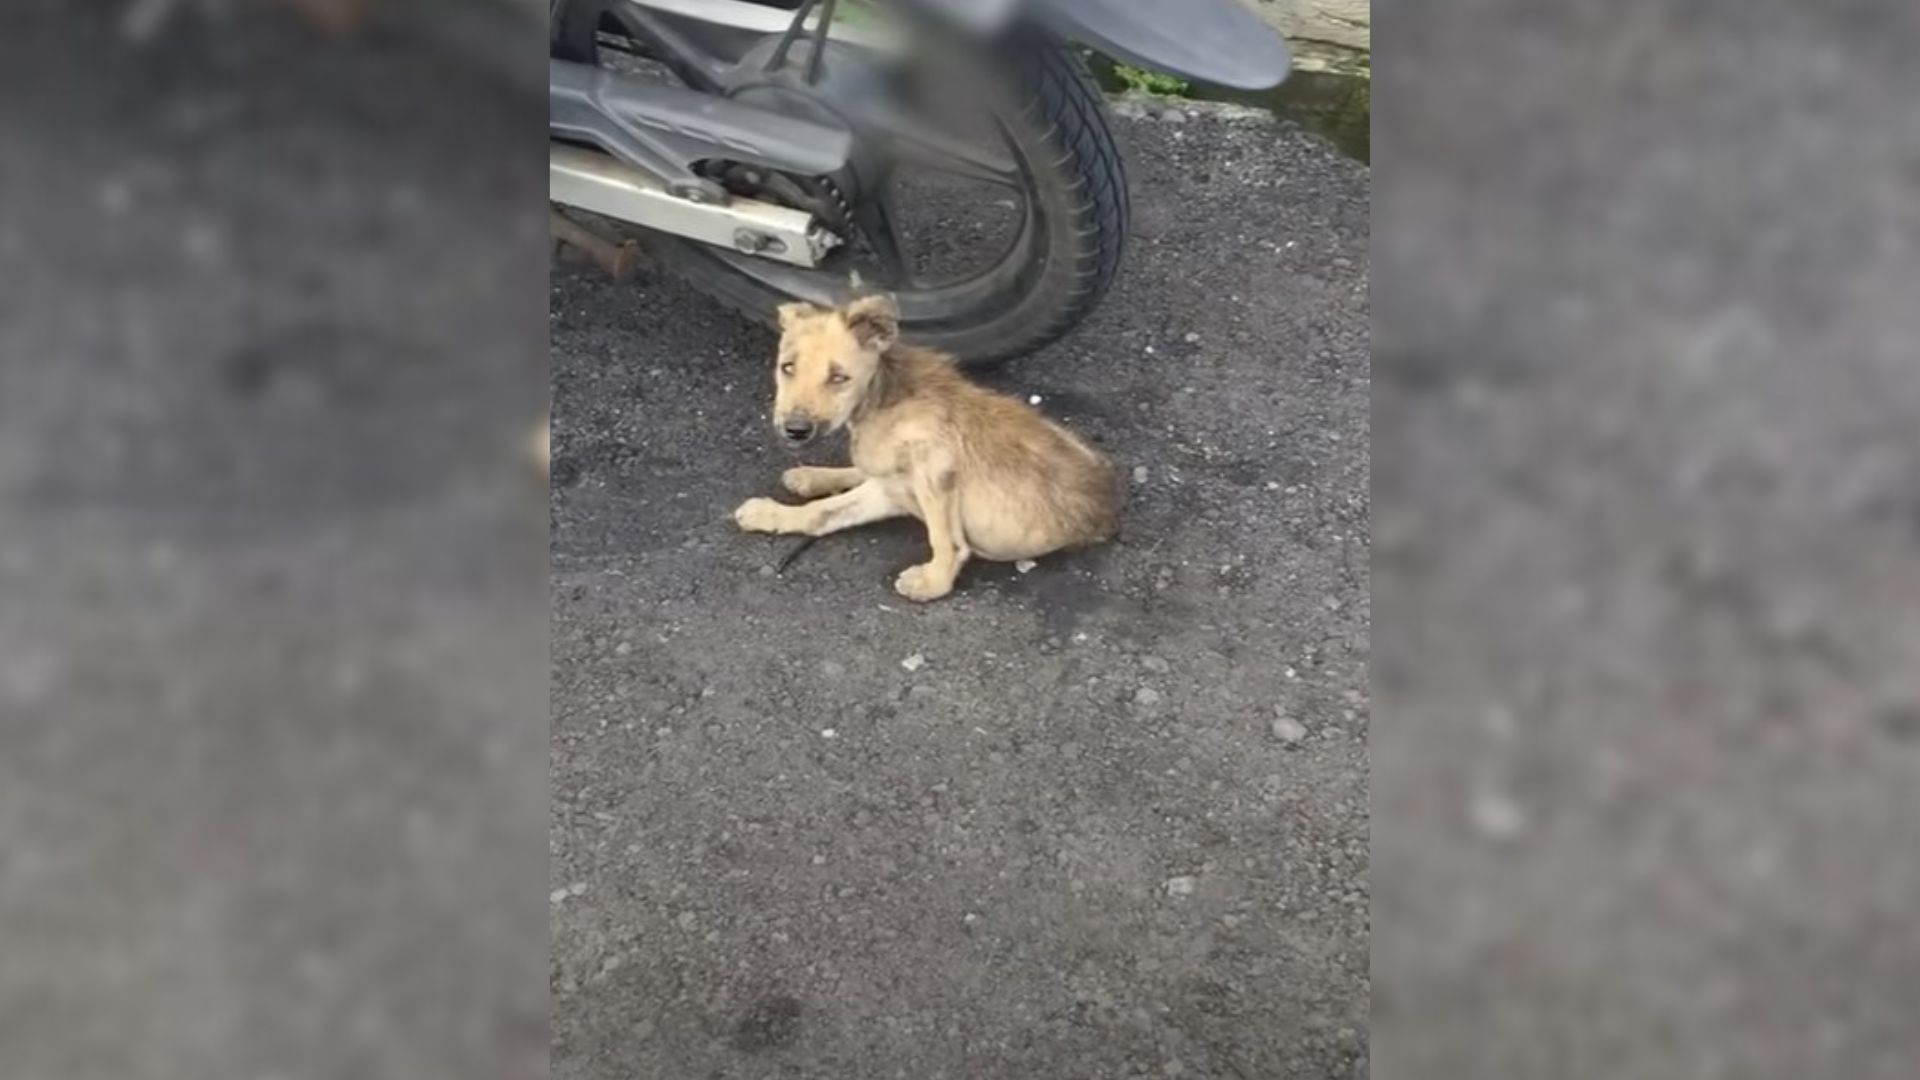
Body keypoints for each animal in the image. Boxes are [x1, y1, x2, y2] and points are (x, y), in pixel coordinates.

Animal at [733, 294, 1121, 599]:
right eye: (787, 368)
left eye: (839, 377)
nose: (795, 430)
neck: (883, 396)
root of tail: (1109, 509)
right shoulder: (888, 488)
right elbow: (822, 513)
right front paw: (777, 510)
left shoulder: (935, 467)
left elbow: (945, 539)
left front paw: (934, 582)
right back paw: (811, 476)